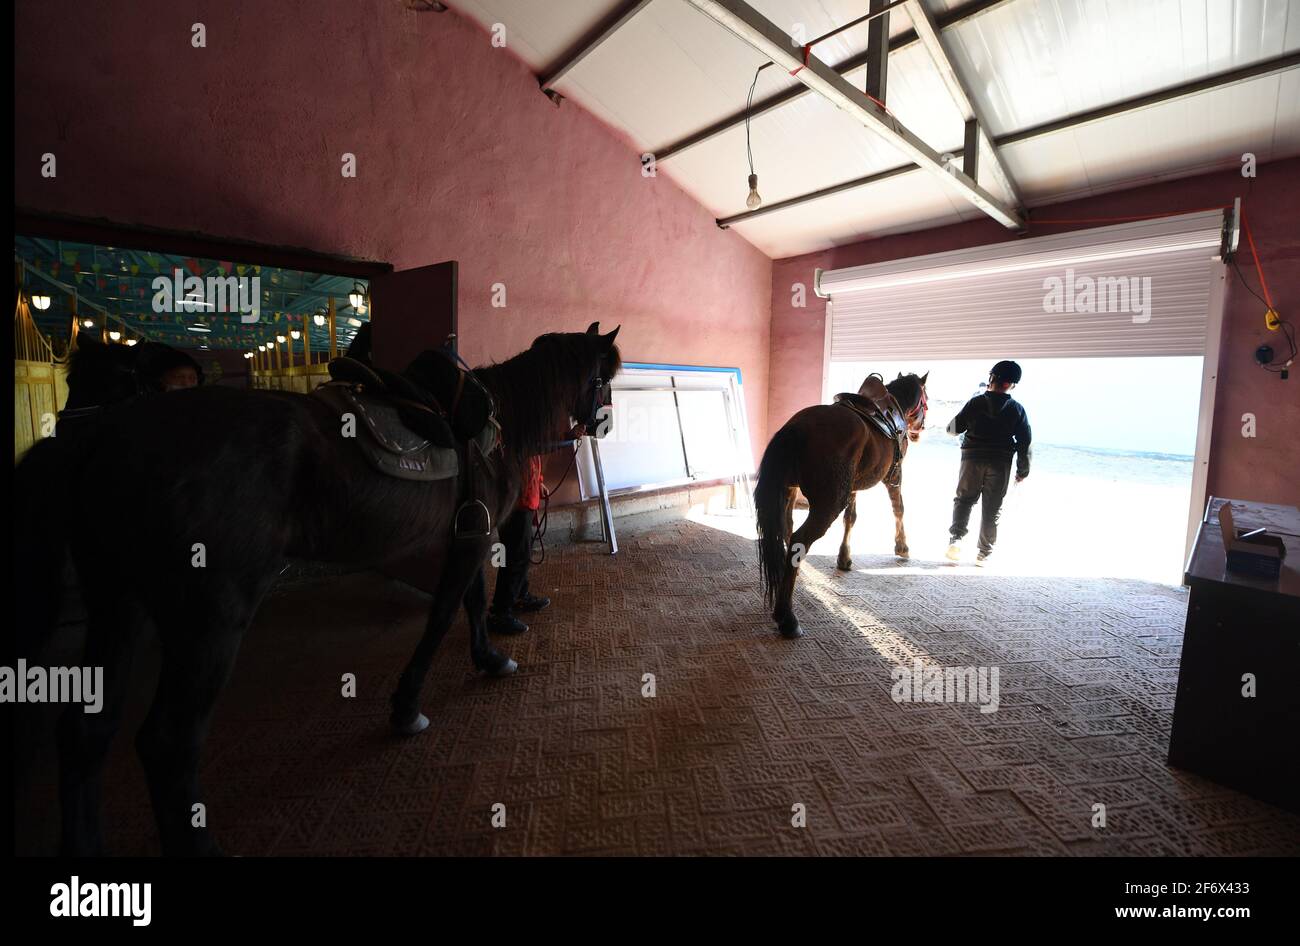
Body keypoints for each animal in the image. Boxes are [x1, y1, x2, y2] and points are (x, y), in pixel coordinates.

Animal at [13, 323, 624, 857]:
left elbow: (470, 603)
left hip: (119, 605)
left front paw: (489, 658)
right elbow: (443, 614)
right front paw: (408, 706)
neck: (493, 422)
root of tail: (102, 437)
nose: (603, 425)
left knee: (87, 733)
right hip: (209, 621)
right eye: (603, 376)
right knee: (167, 741)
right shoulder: (476, 539)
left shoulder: (468, 533)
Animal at [759, 369, 930, 636]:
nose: (920, 429)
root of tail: (797, 427)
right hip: (828, 504)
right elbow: (899, 509)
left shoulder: (853, 487)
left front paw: (844, 557)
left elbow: (851, 518)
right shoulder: (894, 477)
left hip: (789, 492)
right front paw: (902, 547)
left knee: (787, 530)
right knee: (799, 539)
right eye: (925, 400)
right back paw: (787, 617)